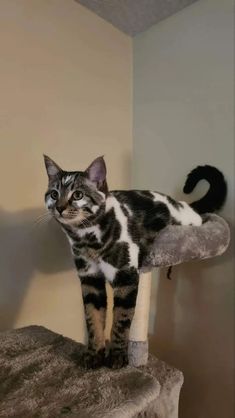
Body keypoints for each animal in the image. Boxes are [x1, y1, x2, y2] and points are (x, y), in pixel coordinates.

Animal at [43, 155, 227, 368]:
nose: (59, 207)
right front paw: (94, 354)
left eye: (78, 195)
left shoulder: (126, 277)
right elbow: (93, 320)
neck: (86, 239)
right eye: (54, 194)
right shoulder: (90, 280)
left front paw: (117, 357)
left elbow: (121, 321)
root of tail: (184, 204)